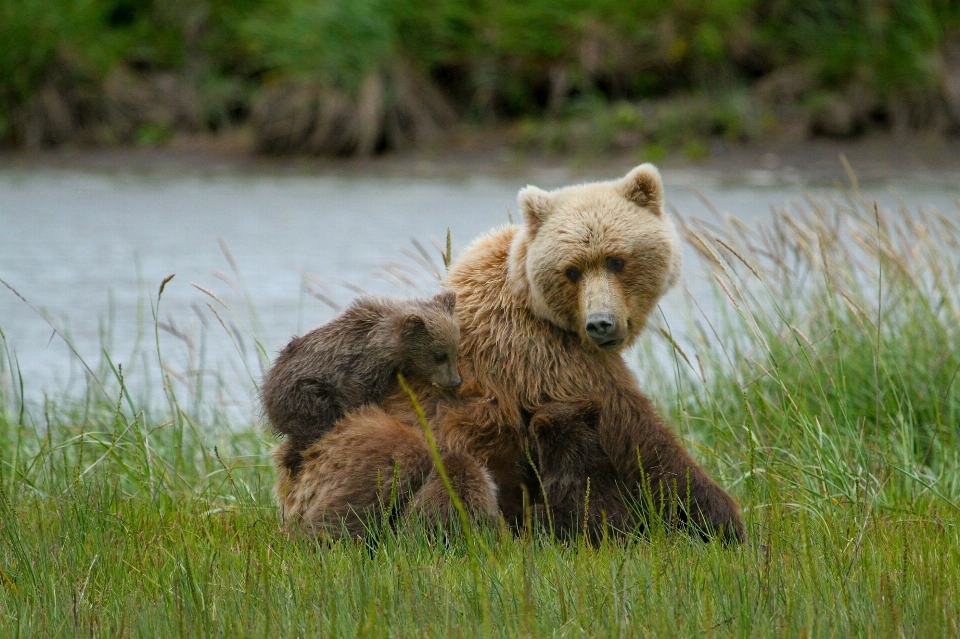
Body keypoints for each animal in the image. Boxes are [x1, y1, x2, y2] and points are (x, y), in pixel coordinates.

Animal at [260, 292, 460, 478]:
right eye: (439, 355)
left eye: (455, 350)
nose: (455, 381)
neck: (383, 343)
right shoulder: (359, 368)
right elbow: (357, 397)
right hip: (304, 394)